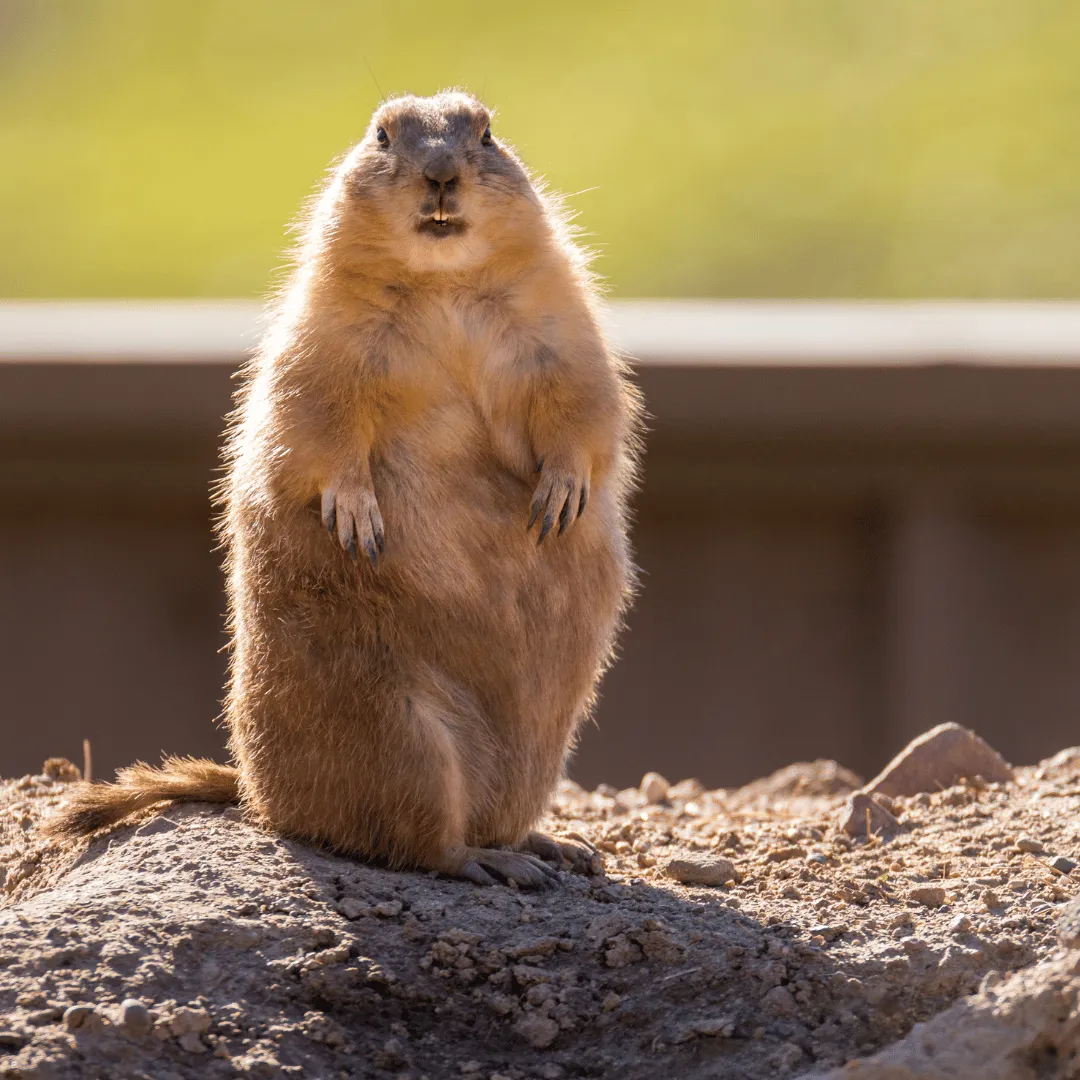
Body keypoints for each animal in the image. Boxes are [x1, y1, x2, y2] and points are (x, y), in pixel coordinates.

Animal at [48, 90, 641, 888]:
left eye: (487, 132)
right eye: (382, 134)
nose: (441, 173)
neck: (443, 281)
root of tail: (261, 798)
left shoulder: (564, 324)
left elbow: (587, 401)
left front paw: (560, 496)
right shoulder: (321, 337)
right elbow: (316, 418)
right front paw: (355, 516)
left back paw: (558, 847)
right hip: (400, 732)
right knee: (421, 844)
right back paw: (496, 863)